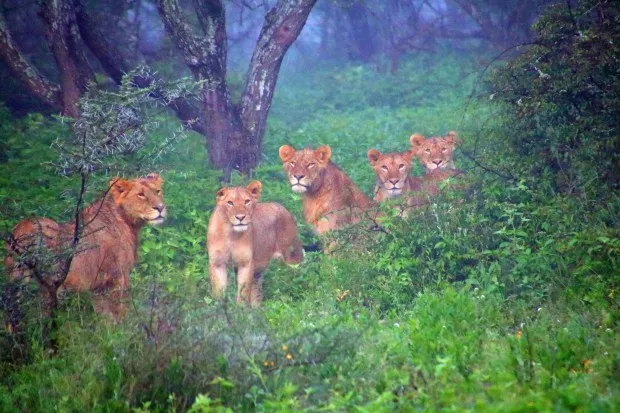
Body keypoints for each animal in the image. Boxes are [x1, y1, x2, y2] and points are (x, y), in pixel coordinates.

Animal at [5, 171, 165, 318]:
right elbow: (121, 315)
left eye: (157, 191)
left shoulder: (99, 286)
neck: (126, 220)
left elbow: (105, 318)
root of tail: (23, 228)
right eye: (141, 195)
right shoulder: (118, 277)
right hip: (47, 285)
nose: (161, 208)